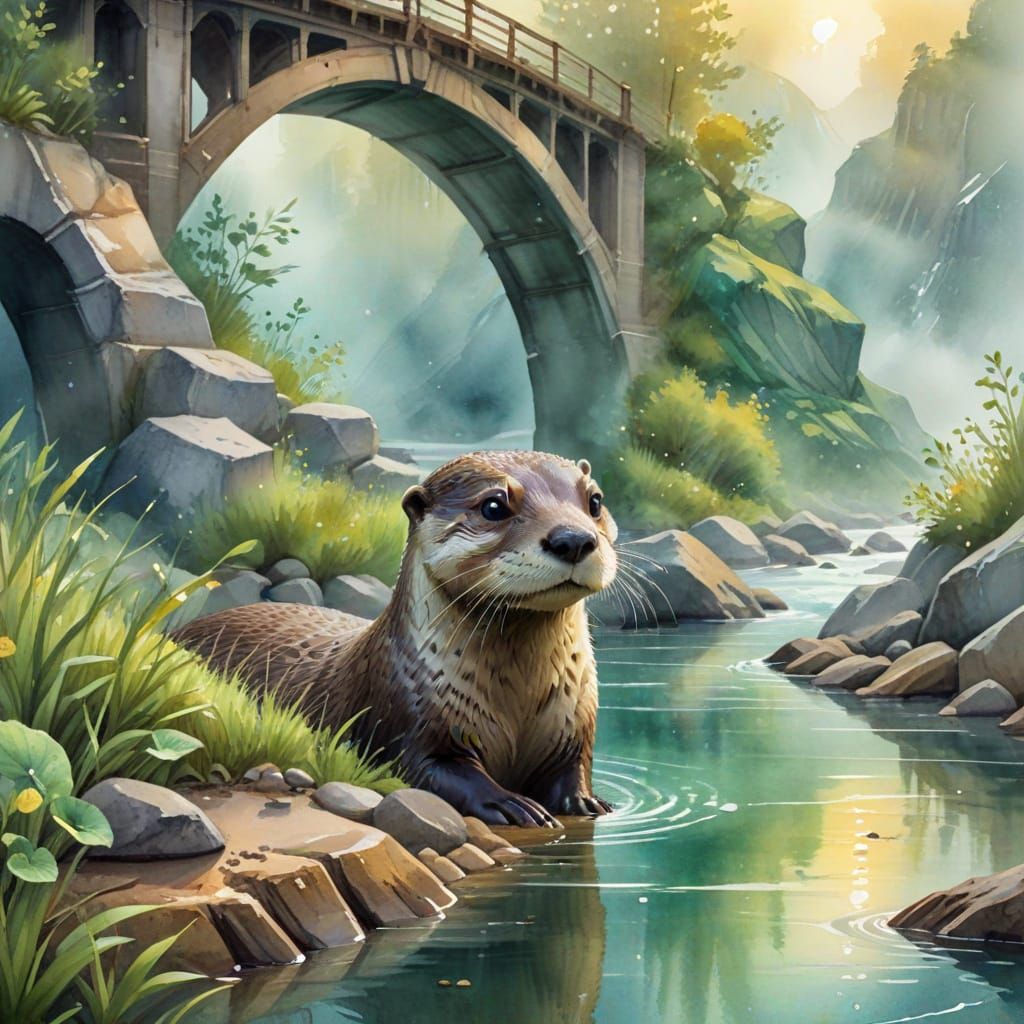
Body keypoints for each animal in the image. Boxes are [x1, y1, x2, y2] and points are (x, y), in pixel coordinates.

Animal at [173, 450, 618, 827]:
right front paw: (508, 802)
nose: (573, 539)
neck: (519, 701)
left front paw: (585, 800)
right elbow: (435, 770)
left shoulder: (575, 721)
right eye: (494, 506)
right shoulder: (405, 716)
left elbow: (574, 767)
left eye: (595, 501)